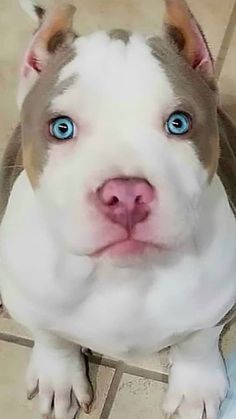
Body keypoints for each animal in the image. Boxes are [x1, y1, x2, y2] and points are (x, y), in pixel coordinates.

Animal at [0, 0, 236, 419]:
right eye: (61, 128)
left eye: (179, 123)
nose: (126, 195)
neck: (122, 277)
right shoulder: (27, 298)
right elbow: (50, 336)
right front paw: (58, 376)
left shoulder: (219, 300)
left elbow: (199, 340)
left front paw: (196, 387)